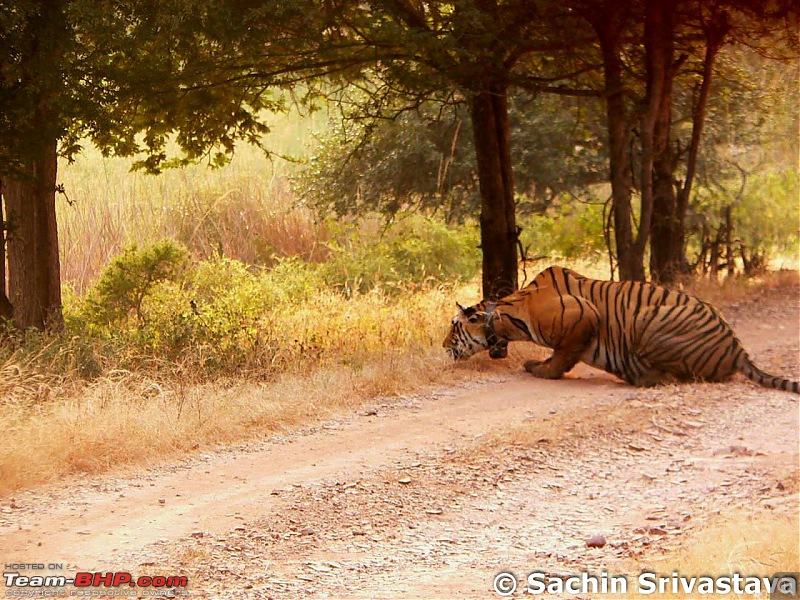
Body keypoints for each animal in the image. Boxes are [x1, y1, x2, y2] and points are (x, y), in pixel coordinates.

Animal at [444, 264, 800, 394]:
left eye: (453, 327)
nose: (443, 345)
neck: (504, 315)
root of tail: (738, 348)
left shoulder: (582, 318)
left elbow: (561, 357)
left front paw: (539, 368)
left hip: (647, 321)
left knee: (677, 376)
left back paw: (641, 377)